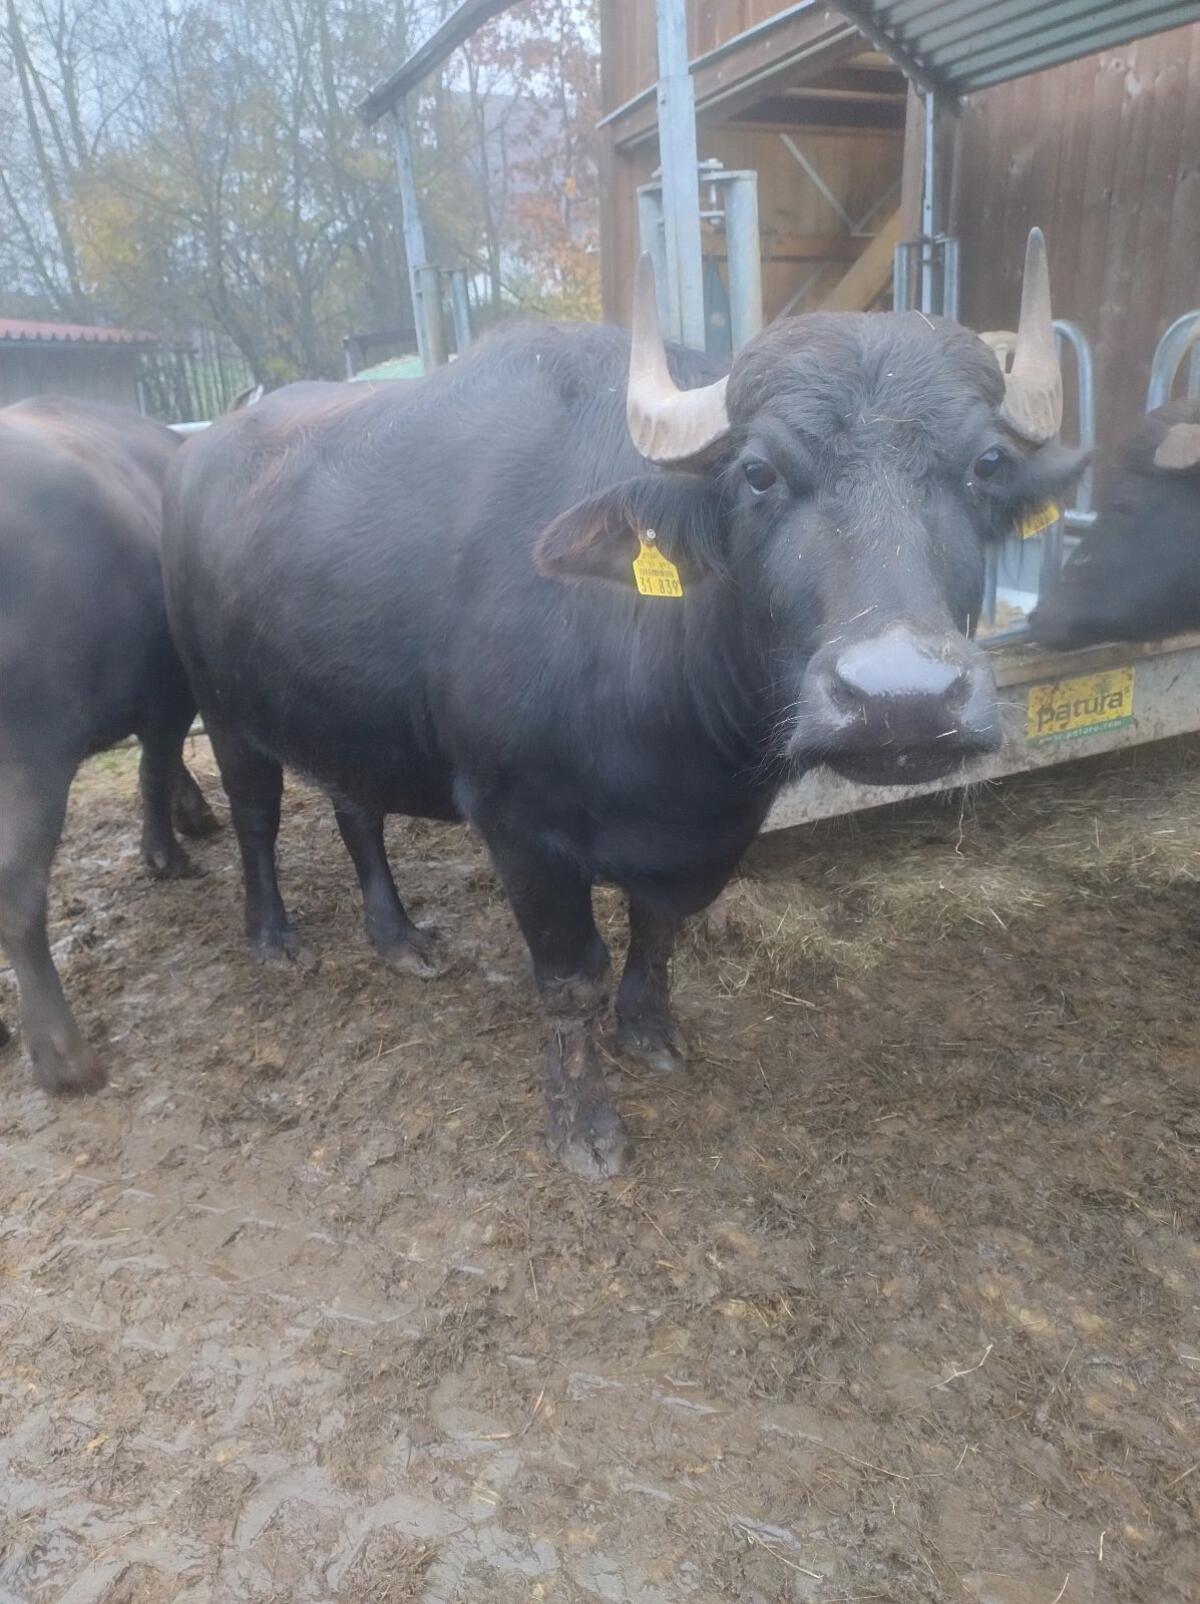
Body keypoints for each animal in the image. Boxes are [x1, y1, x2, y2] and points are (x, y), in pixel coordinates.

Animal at [0, 397, 218, 1095]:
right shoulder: (169, 692)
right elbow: (155, 767)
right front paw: (167, 853)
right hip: (30, 759)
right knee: (17, 888)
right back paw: (66, 1059)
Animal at [163, 230, 1084, 1178]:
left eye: (985, 464)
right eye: (758, 472)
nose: (902, 697)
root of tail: (197, 452)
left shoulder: (691, 831)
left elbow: (662, 924)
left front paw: (649, 1031)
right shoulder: (520, 829)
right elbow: (571, 977)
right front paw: (585, 1123)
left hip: (347, 711)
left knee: (357, 812)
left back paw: (400, 939)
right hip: (223, 710)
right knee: (258, 818)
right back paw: (273, 938)